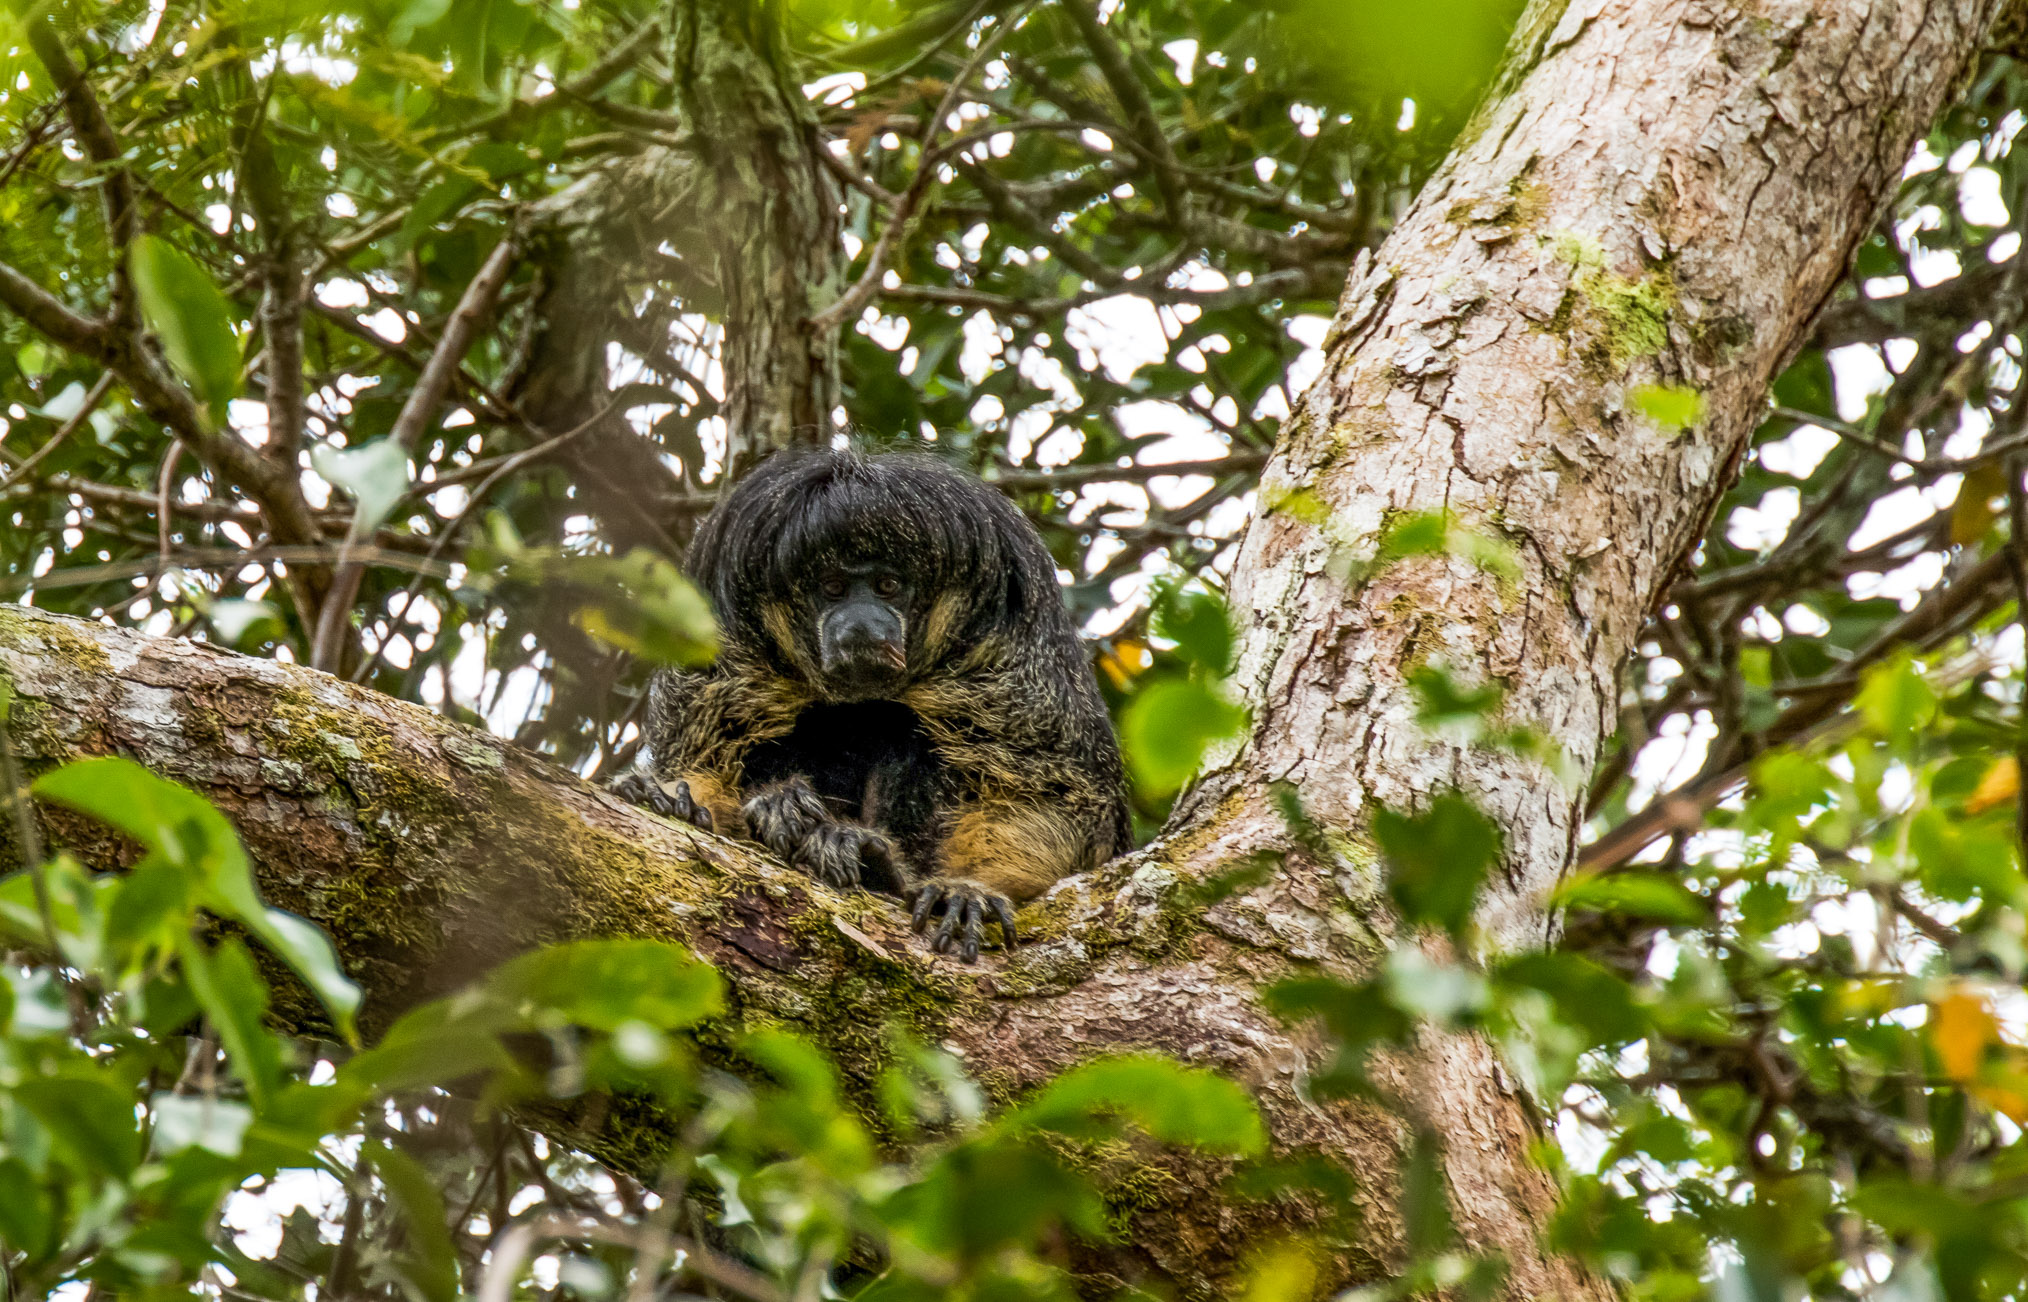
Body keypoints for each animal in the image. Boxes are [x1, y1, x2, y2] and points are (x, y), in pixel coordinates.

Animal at [610, 446, 1132, 962]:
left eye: (886, 586)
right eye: (833, 587)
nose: (860, 622)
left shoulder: (1011, 640)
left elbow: (1052, 795)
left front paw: (970, 890)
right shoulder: (727, 635)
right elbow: (704, 758)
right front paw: (678, 799)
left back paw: (873, 861)